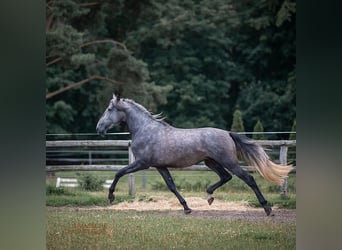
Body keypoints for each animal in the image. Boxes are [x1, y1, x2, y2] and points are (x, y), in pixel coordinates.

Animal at [95, 94, 292, 216]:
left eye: (109, 109)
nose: (98, 128)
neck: (145, 129)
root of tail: (228, 133)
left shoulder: (142, 163)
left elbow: (118, 172)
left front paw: (111, 196)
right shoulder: (160, 166)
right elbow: (172, 186)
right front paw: (187, 208)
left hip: (228, 161)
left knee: (248, 178)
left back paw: (267, 208)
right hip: (211, 162)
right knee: (225, 177)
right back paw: (209, 196)